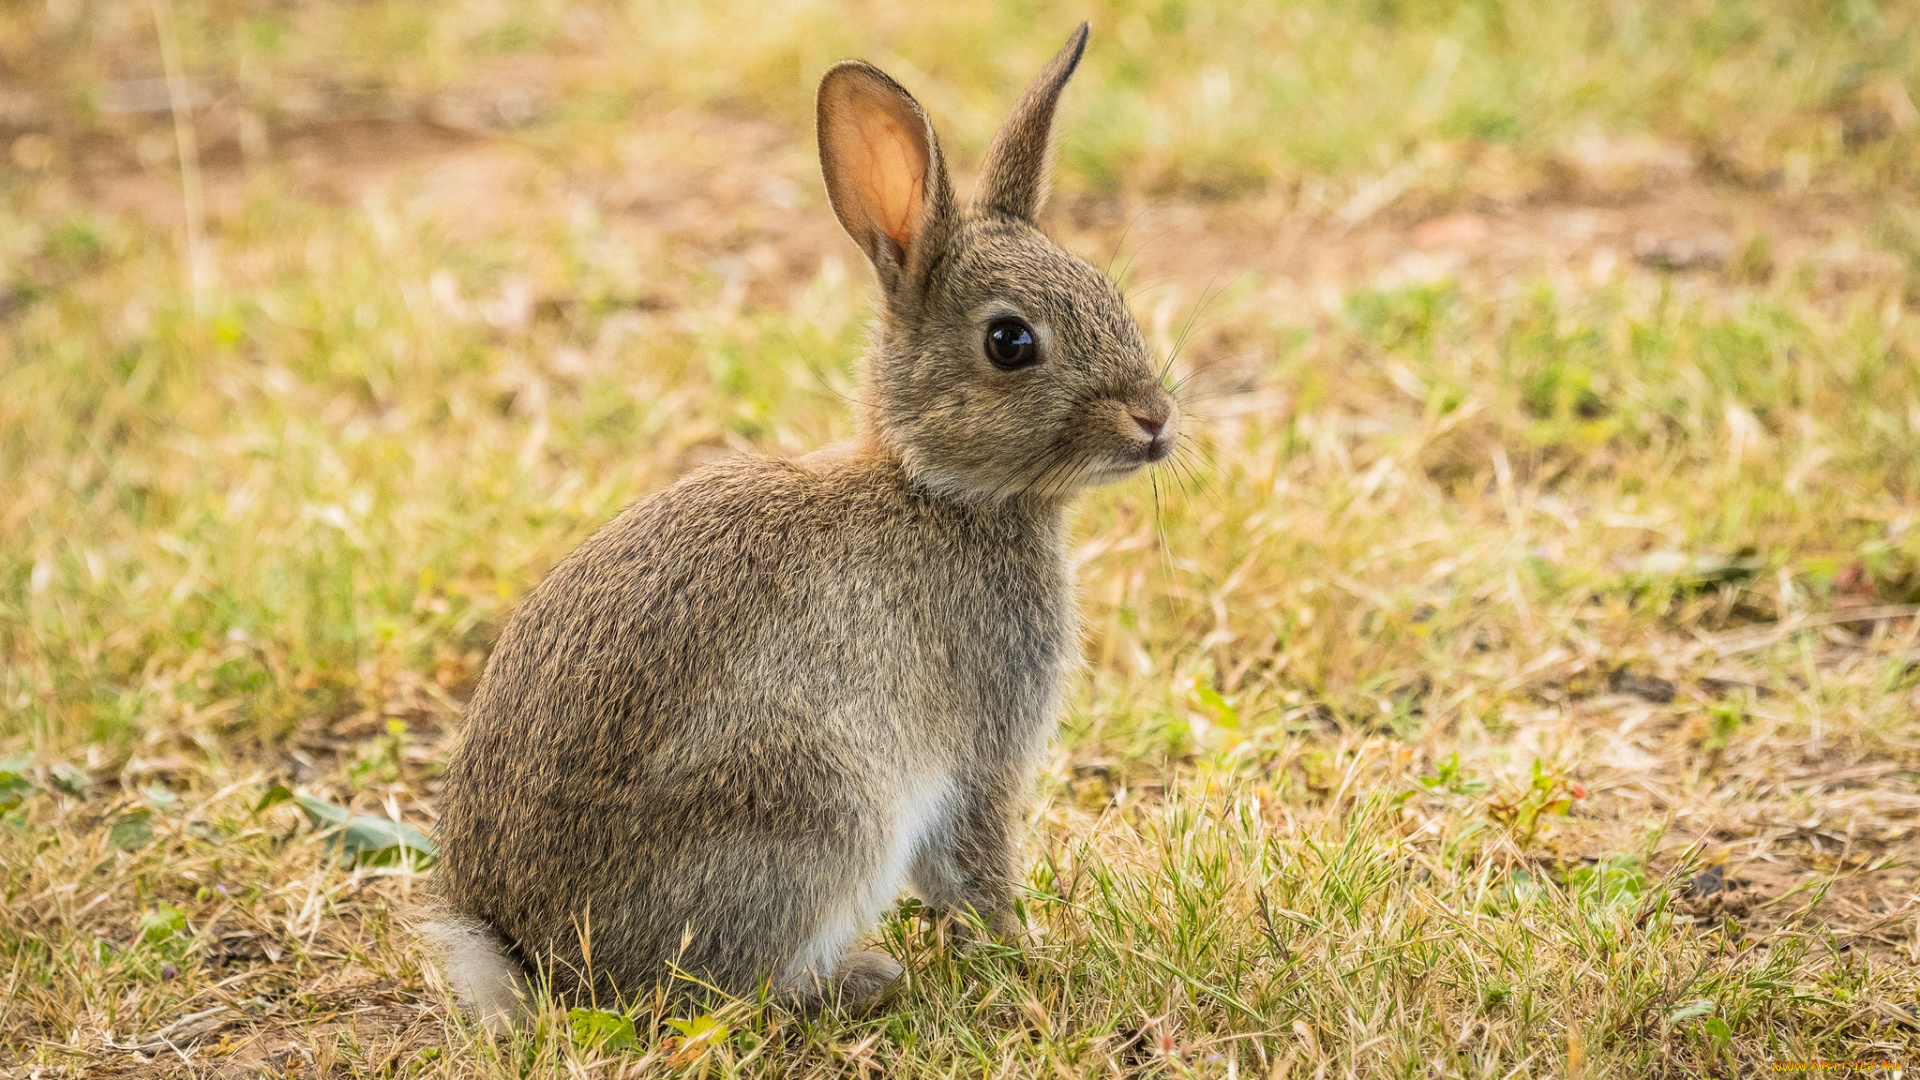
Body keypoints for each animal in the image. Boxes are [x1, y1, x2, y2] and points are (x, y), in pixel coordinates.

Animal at [428, 21, 1175, 1022]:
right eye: (1010, 342)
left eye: (1109, 292)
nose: (1155, 420)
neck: (939, 488)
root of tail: (532, 955)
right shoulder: (980, 748)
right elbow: (974, 870)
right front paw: (1022, 961)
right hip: (822, 807)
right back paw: (859, 979)